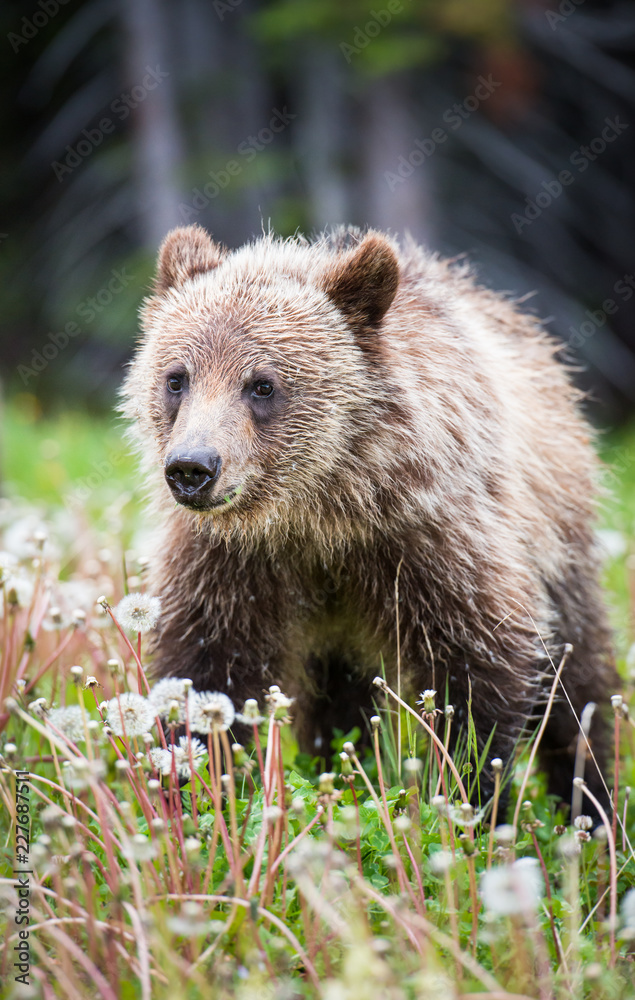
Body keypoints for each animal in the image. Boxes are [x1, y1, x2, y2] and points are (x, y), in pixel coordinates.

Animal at [121, 222, 619, 817]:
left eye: (262, 383)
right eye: (177, 378)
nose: (192, 468)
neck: (317, 515)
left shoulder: (428, 534)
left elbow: (481, 663)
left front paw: (468, 794)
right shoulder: (230, 561)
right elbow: (205, 665)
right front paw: (194, 785)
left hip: (558, 529)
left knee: (579, 671)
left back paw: (591, 797)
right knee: (339, 698)